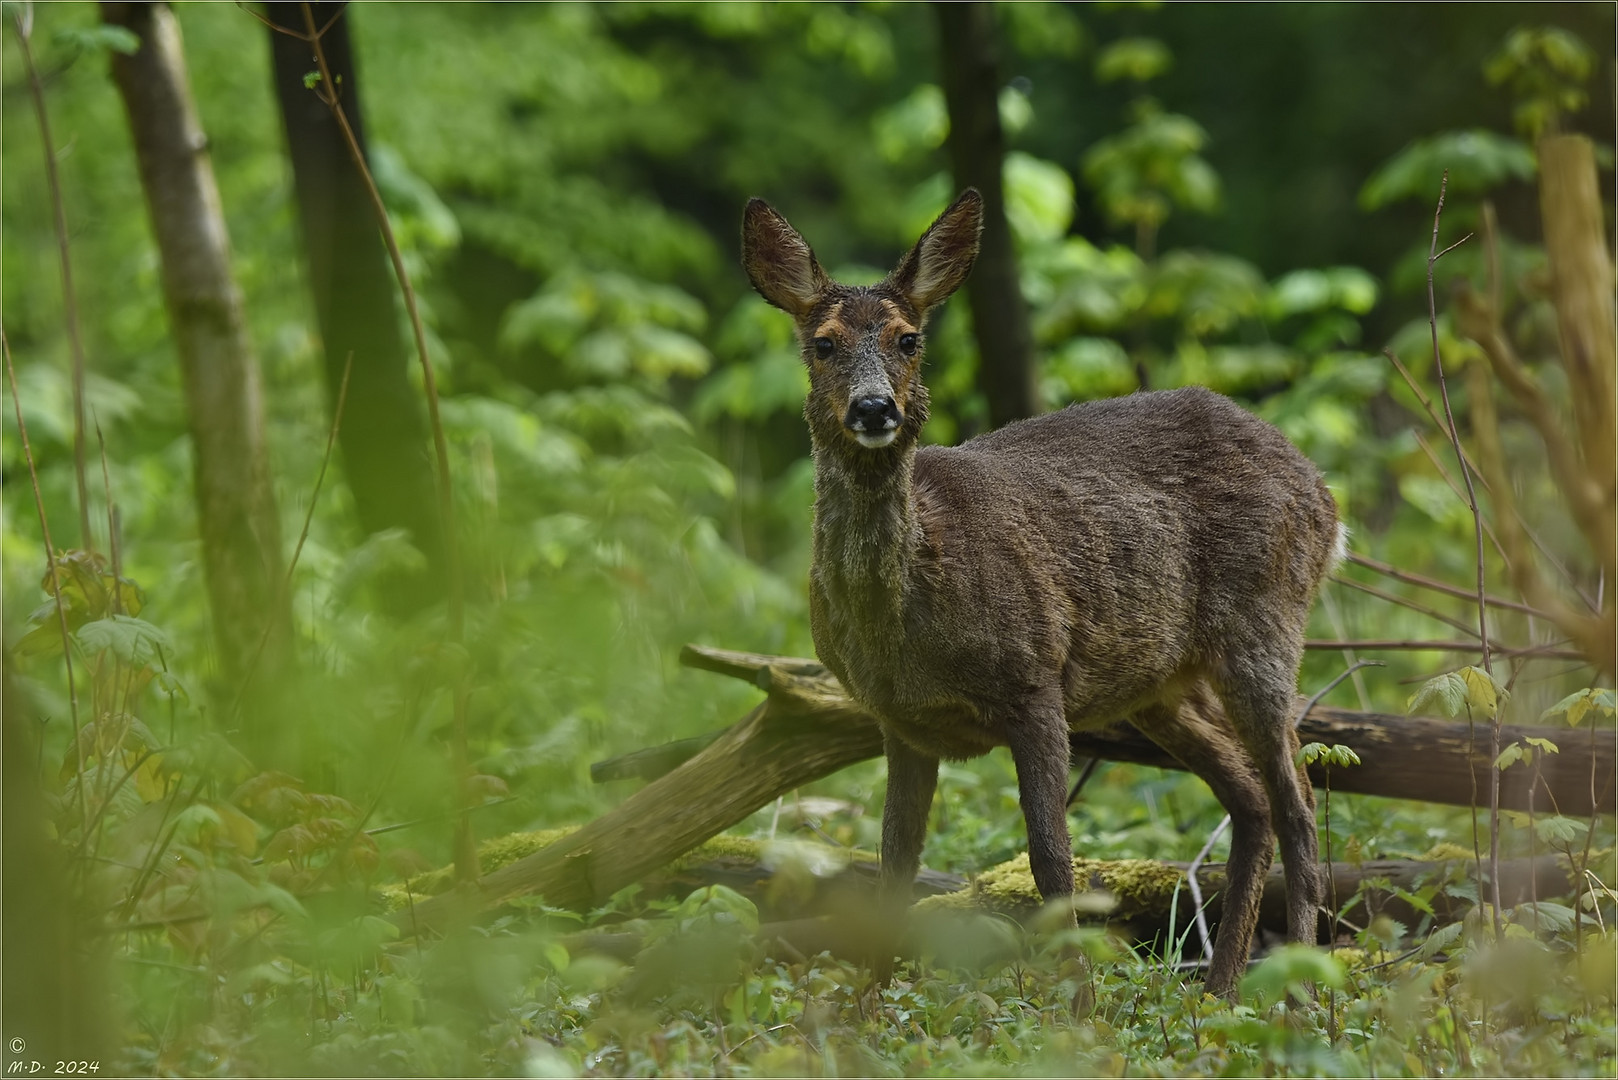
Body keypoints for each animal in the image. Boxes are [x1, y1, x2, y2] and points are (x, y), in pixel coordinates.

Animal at [741, 186, 1339, 997]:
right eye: (823, 343)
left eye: (908, 339)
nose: (873, 409)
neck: (908, 615)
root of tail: (1322, 490)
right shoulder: (900, 720)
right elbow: (893, 870)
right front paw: (862, 1010)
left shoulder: (1036, 678)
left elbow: (1052, 859)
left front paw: (1080, 1009)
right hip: (1157, 683)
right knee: (1250, 800)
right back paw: (1221, 992)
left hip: (1265, 622)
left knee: (1298, 799)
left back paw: (1299, 992)